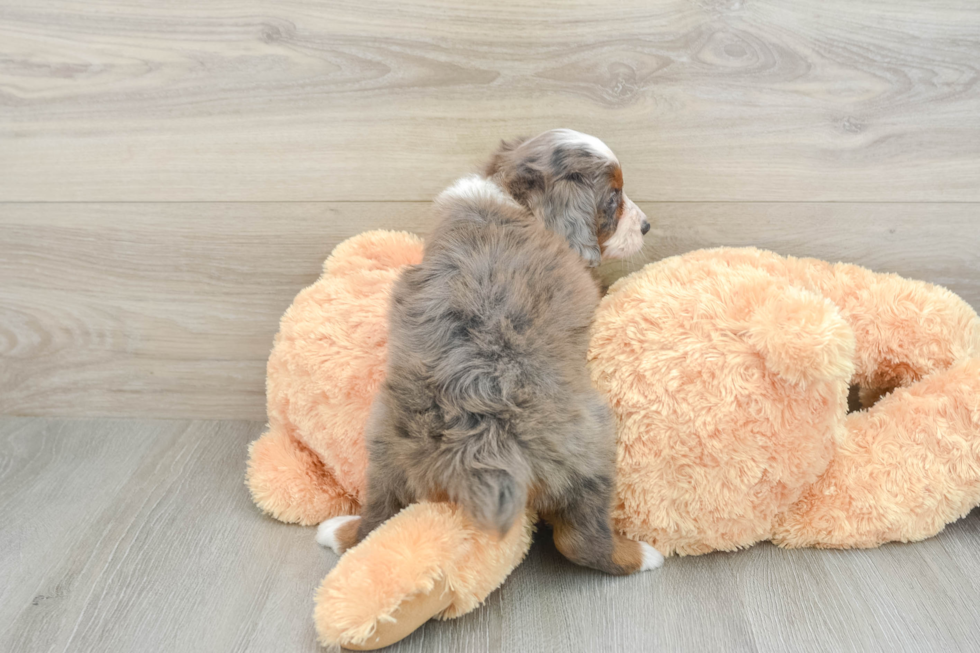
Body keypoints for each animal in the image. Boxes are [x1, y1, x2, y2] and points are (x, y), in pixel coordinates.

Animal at [318, 130, 664, 572]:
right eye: (612, 198)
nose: (647, 226)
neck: (514, 196)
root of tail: (476, 451)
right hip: (593, 439)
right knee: (578, 540)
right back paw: (640, 554)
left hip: (384, 448)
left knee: (378, 521)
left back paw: (337, 529)